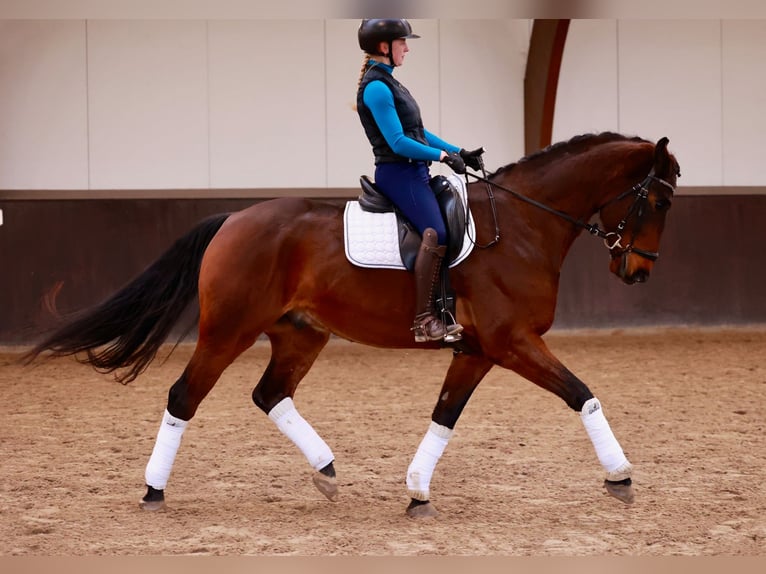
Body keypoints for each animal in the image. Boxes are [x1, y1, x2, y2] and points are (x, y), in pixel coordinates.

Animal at [24, 133, 684, 520]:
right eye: (658, 202)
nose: (639, 272)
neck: (522, 226)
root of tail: (233, 218)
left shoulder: (476, 349)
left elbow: (445, 416)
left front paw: (417, 491)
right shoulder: (512, 341)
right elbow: (582, 395)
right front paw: (621, 477)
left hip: (301, 332)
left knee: (270, 393)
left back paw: (325, 472)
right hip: (226, 331)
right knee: (185, 396)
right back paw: (154, 492)